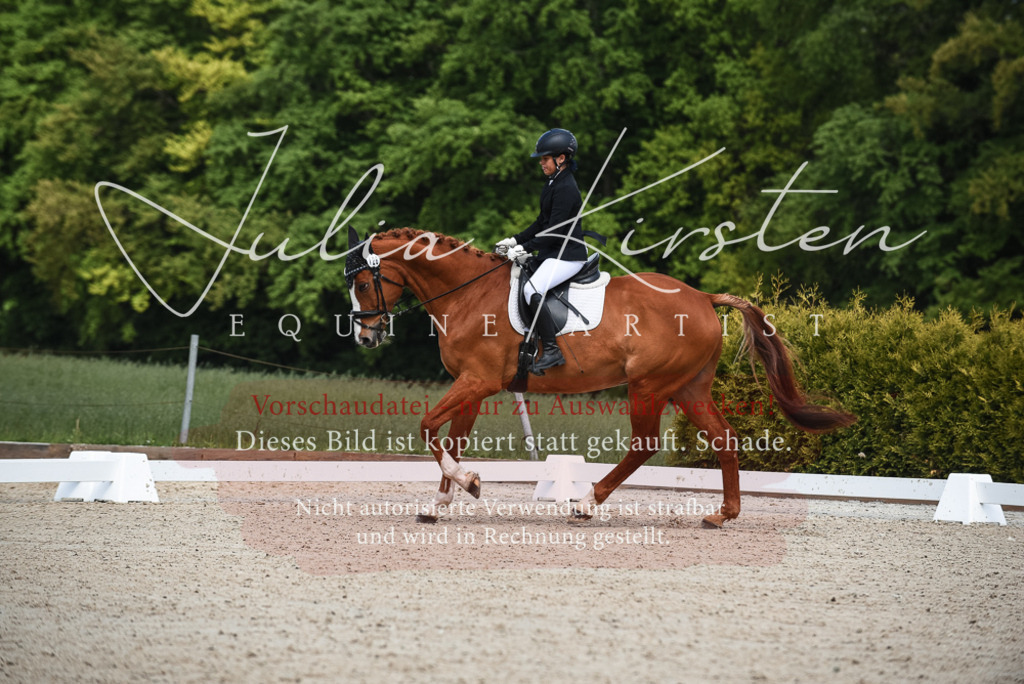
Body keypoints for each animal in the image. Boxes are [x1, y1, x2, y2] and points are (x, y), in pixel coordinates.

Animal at [344, 227, 856, 527]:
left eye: (364, 283)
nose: (366, 337)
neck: (468, 294)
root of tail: (703, 298)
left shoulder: (478, 381)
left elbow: (429, 427)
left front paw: (467, 483)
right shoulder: (472, 386)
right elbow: (451, 439)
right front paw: (442, 502)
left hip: (649, 386)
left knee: (644, 444)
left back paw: (587, 503)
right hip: (688, 387)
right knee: (723, 438)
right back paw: (721, 515)